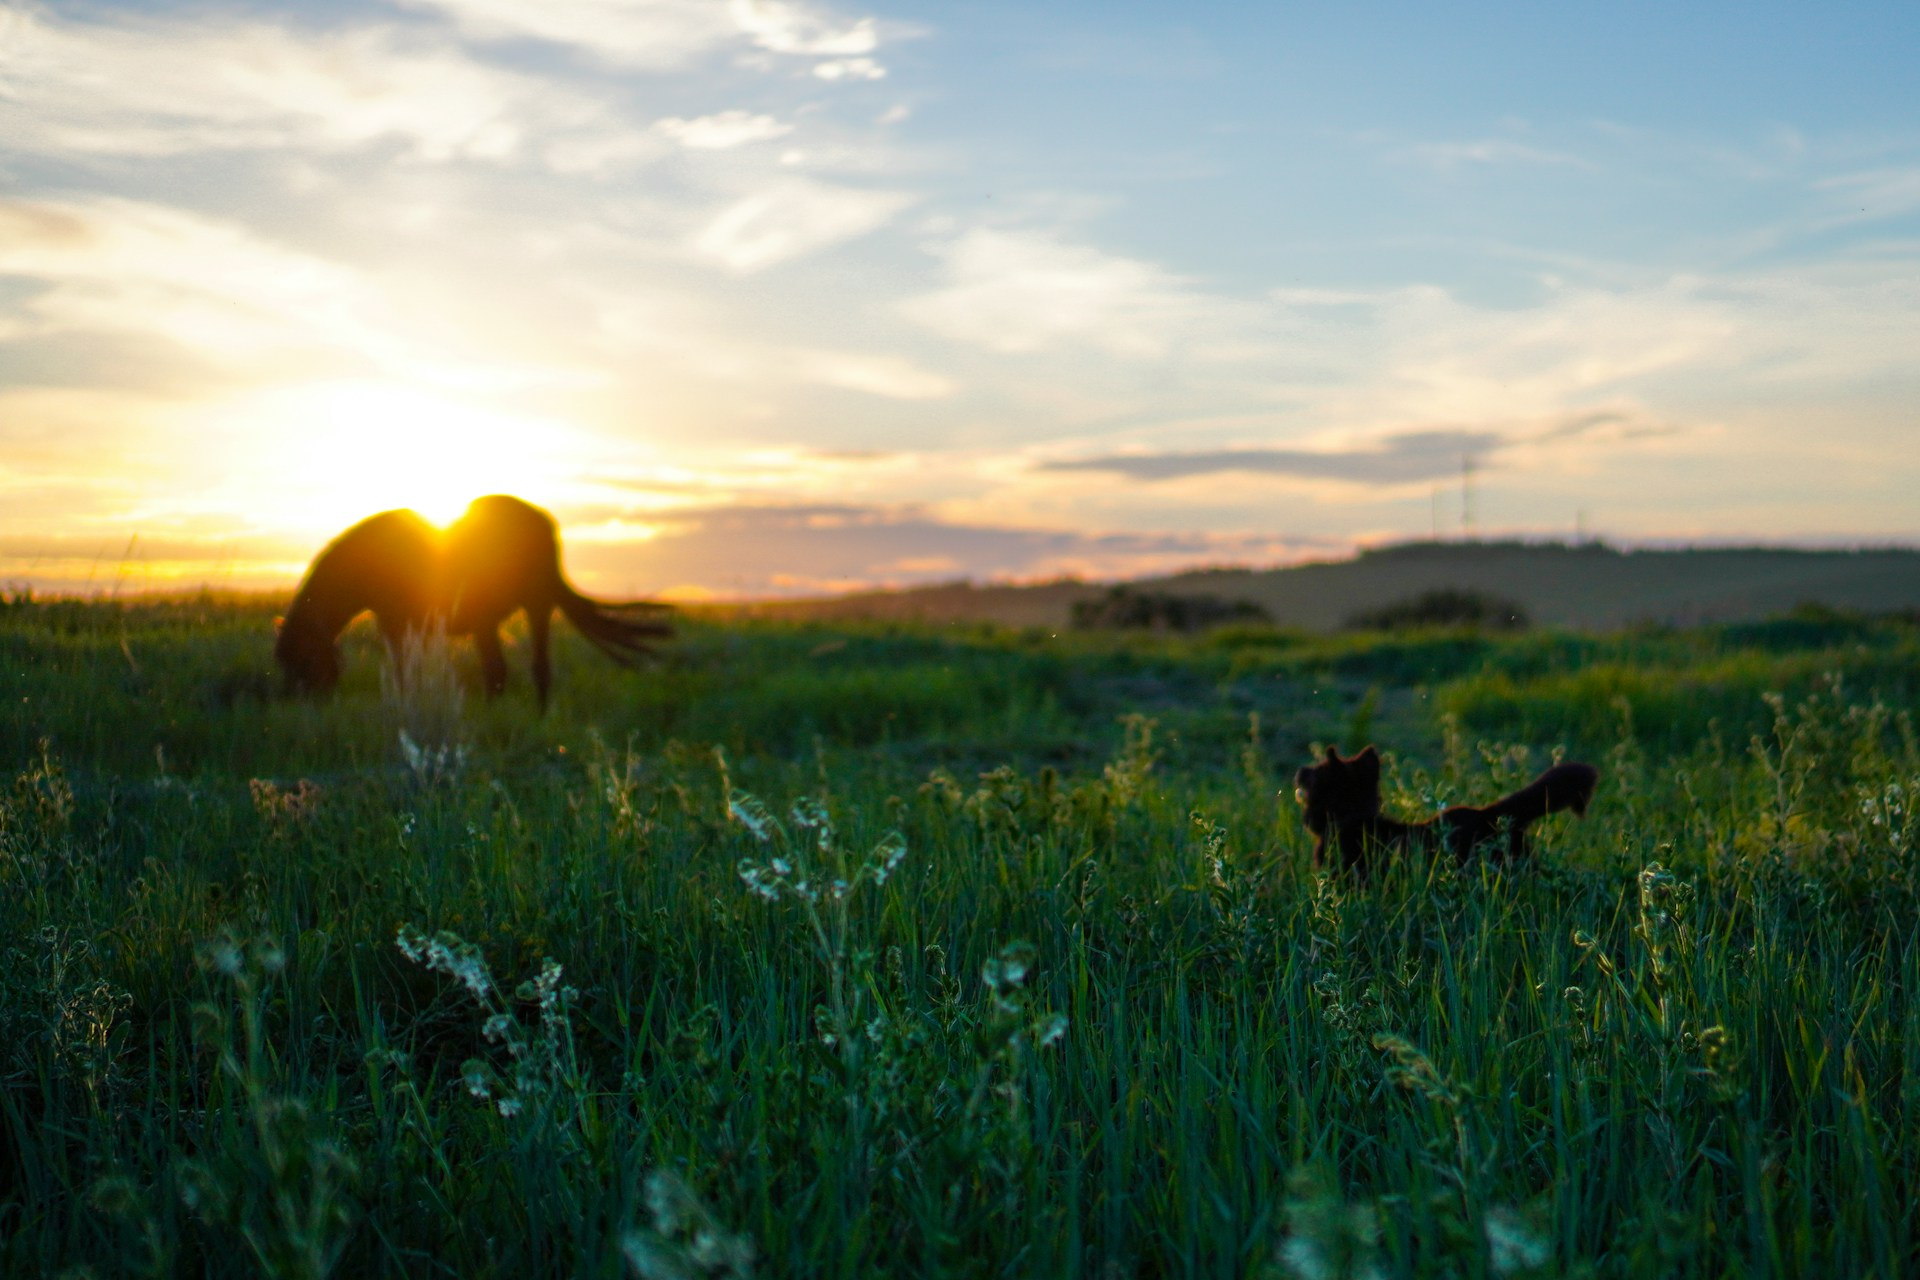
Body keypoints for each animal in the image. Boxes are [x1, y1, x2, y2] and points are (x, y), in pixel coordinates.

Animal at [274, 495, 672, 709]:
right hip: (515, 614)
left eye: (305, 661)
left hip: (520, 609)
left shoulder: (396, 623)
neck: (368, 563)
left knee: (510, 670)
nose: (304, 704)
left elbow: (405, 674)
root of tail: (544, 524)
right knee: (525, 670)